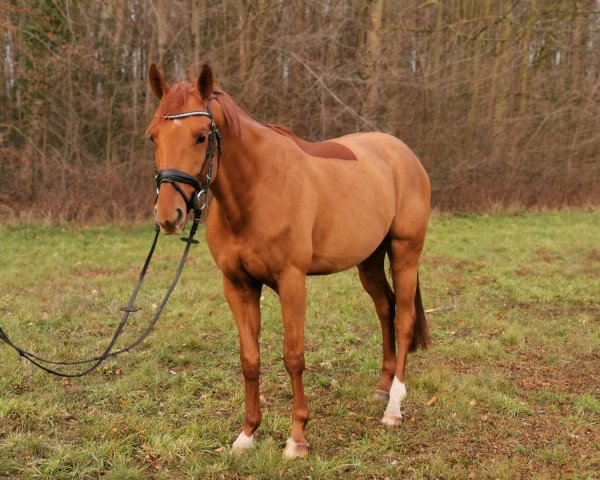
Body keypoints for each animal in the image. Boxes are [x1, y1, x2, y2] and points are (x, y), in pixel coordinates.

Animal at [149, 63, 432, 458]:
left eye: (201, 136)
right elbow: (250, 359)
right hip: (370, 262)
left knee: (404, 319)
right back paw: (382, 387)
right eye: (153, 137)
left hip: (405, 253)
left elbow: (293, 356)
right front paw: (247, 434)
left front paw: (297, 438)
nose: (168, 216)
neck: (258, 188)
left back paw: (393, 407)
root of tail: (402, 154)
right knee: (386, 311)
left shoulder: (292, 282)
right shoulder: (238, 286)